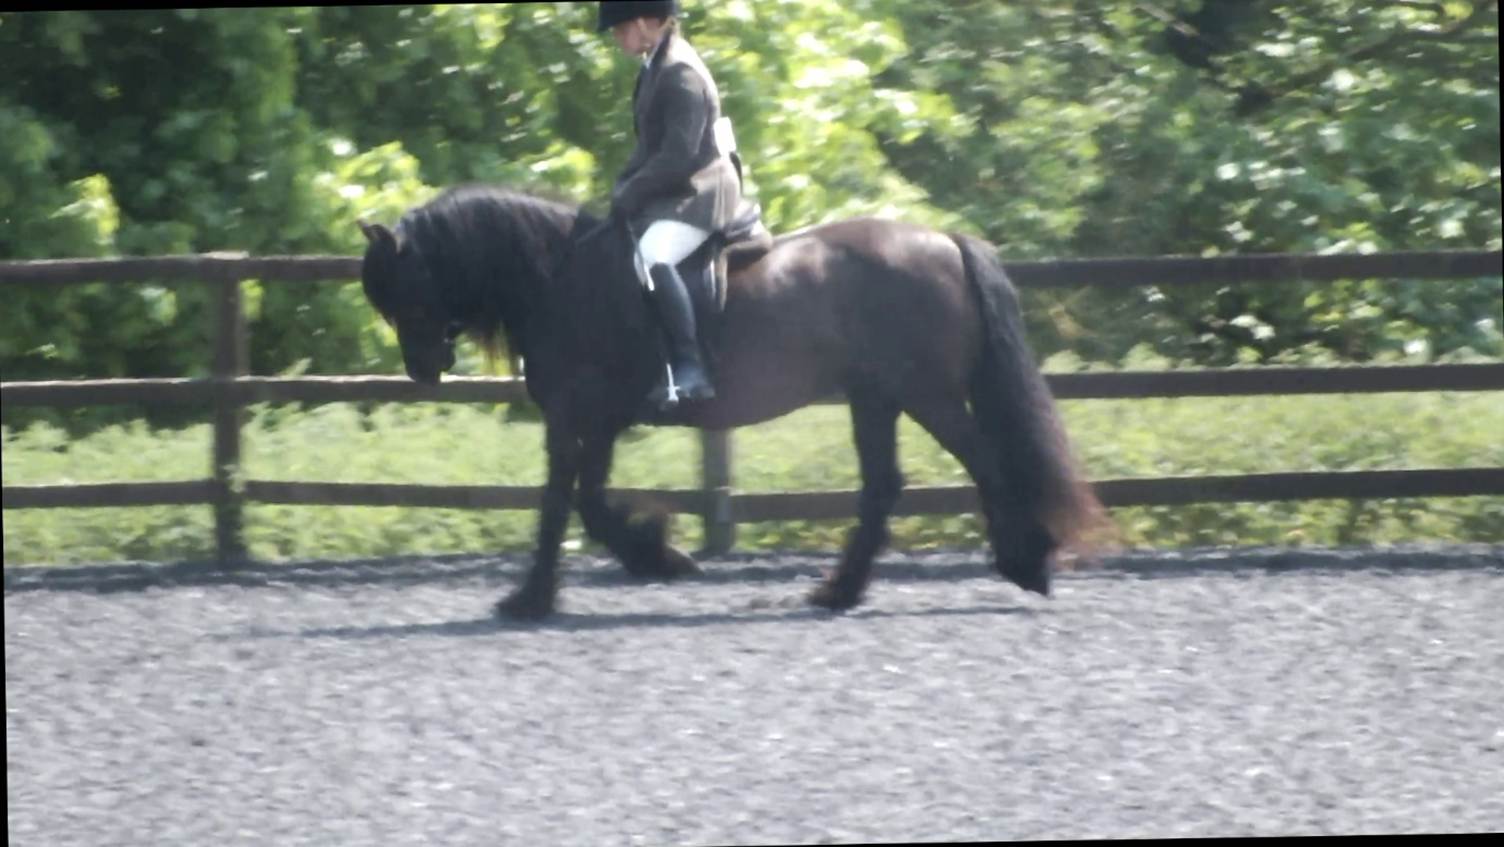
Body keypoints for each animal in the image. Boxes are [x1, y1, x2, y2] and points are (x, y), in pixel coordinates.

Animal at [358, 184, 1107, 619]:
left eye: (405, 290)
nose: (423, 371)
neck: (558, 278)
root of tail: (945, 240)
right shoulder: (598, 421)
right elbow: (587, 501)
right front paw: (654, 555)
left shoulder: (576, 415)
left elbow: (561, 504)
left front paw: (536, 597)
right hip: (877, 397)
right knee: (884, 486)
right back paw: (837, 592)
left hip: (927, 393)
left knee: (986, 465)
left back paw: (1027, 563)